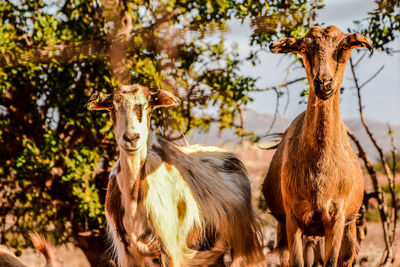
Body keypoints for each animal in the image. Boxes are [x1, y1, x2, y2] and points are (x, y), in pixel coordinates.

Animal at [86, 85, 266, 267]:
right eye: (112, 107)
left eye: (148, 106)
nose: (131, 138)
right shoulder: (127, 252)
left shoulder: (170, 250)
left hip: (243, 243)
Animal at [262, 25, 372, 267]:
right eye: (304, 48)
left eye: (343, 46)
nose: (324, 83)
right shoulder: (294, 218)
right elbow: (297, 263)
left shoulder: (337, 218)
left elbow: (330, 262)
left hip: (346, 230)